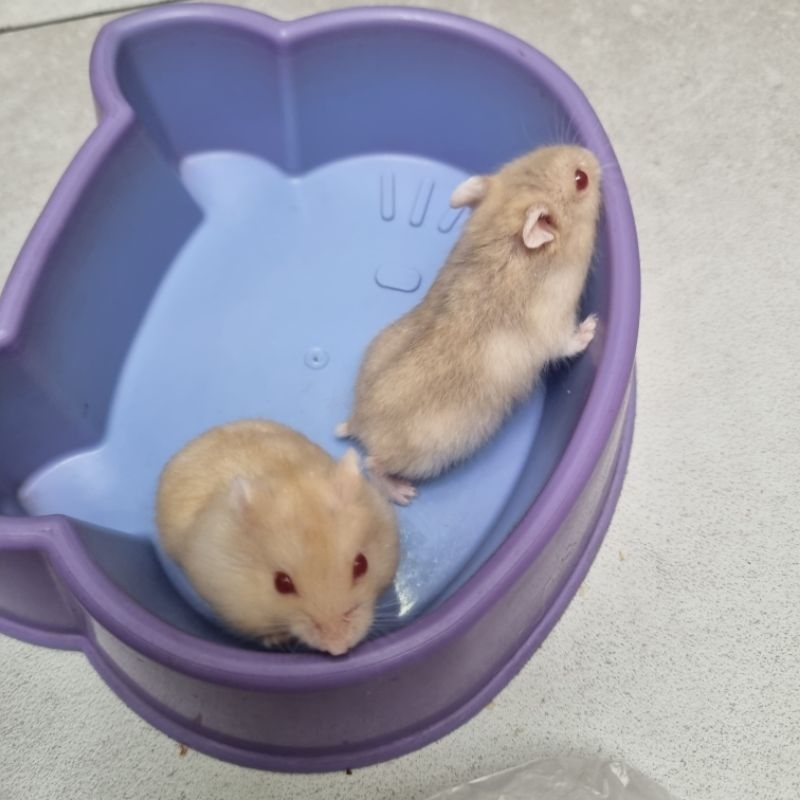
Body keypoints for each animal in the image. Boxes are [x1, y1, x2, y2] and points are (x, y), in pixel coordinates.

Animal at [337, 145, 602, 504]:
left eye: (535, 151)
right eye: (581, 179)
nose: (592, 155)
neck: (501, 230)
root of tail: (357, 422)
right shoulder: (554, 327)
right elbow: (569, 343)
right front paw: (593, 325)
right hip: (424, 457)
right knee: (372, 464)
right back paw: (404, 493)